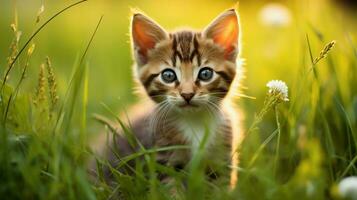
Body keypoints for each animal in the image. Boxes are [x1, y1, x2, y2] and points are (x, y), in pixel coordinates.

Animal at [98, 7, 243, 188]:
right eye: (168, 75)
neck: (194, 122)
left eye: (206, 74)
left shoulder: (221, 158)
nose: (187, 94)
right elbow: (170, 188)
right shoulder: (163, 158)